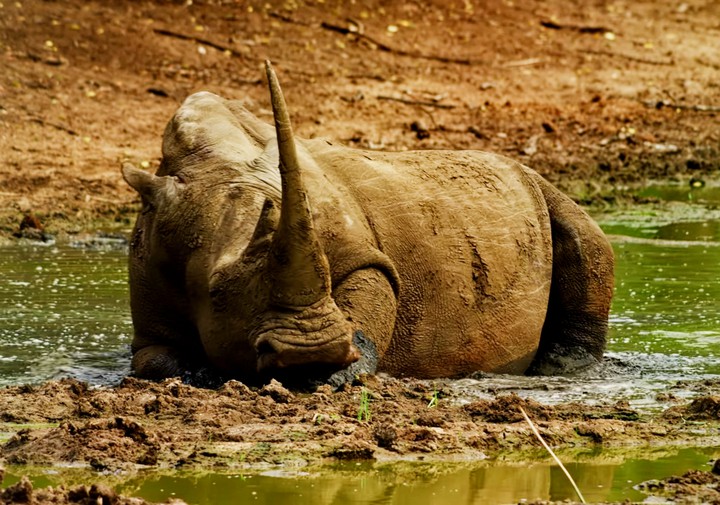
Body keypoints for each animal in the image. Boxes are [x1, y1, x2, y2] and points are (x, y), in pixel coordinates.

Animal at [121, 61, 614, 387]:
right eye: (216, 293)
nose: (309, 356)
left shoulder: (359, 251)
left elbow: (372, 288)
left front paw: (342, 375)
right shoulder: (151, 271)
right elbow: (154, 360)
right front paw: (202, 373)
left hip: (538, 186)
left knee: (585, 238)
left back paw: (562, 368)